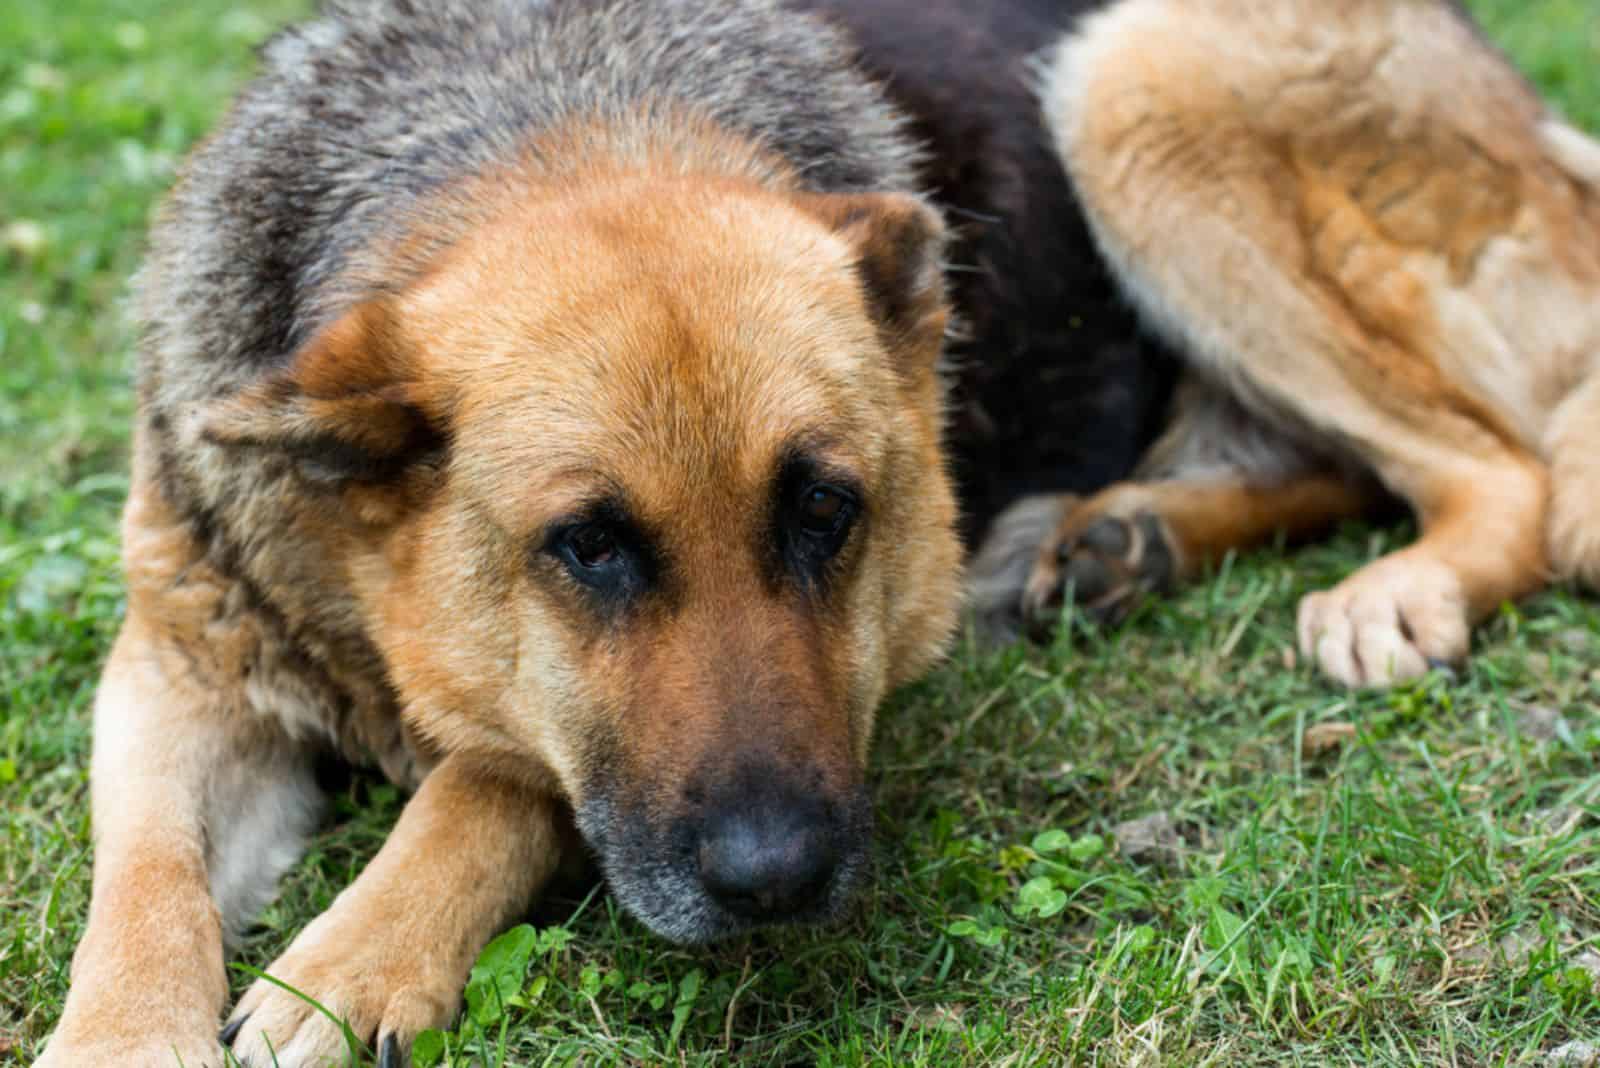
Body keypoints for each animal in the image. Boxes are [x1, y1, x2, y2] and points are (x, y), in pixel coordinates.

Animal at [37, 0, 1600, 1061]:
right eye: (586, 546)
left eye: (826, 514)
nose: (775, 879)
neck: (547, 120)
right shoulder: (175, 667)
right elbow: (144, 884)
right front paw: (118, 1032)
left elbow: (490, 781)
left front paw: (354, 957)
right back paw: (1125, 535)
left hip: (1133, 85)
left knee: (1500, 469)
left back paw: (1400, 584)